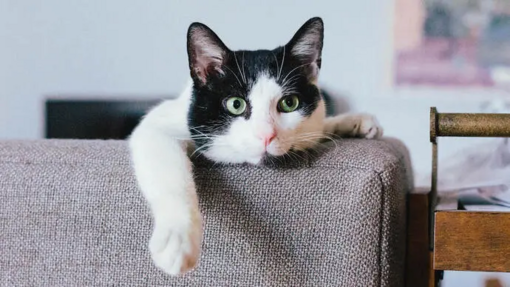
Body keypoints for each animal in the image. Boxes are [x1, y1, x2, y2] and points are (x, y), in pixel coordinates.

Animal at [127, 16, 382, 276]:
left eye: (290, 103)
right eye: (235, 104)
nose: (266, 135)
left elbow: (317, 130)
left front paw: (353, 122)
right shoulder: (157, 125)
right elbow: (169, 169)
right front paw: (177, 240)